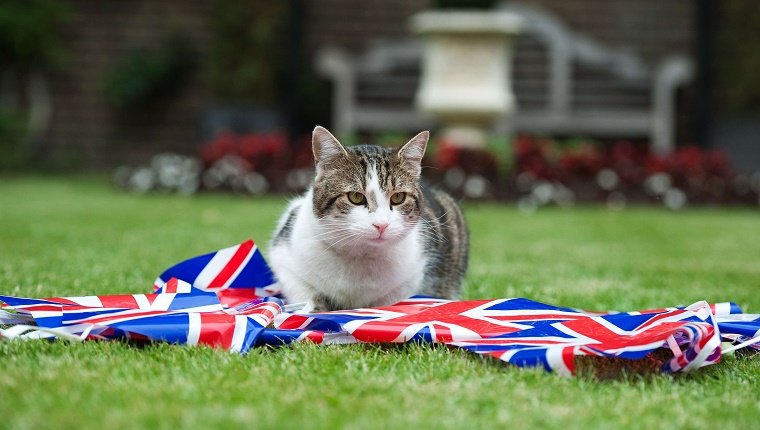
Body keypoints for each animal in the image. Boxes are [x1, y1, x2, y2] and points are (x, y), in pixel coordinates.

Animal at [268, 126, 470, 310]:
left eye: (398, 197)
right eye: (355, 197)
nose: (381, 225)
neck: (362, 256)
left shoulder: (411, 278)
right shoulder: (285, 259)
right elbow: (306, 296)